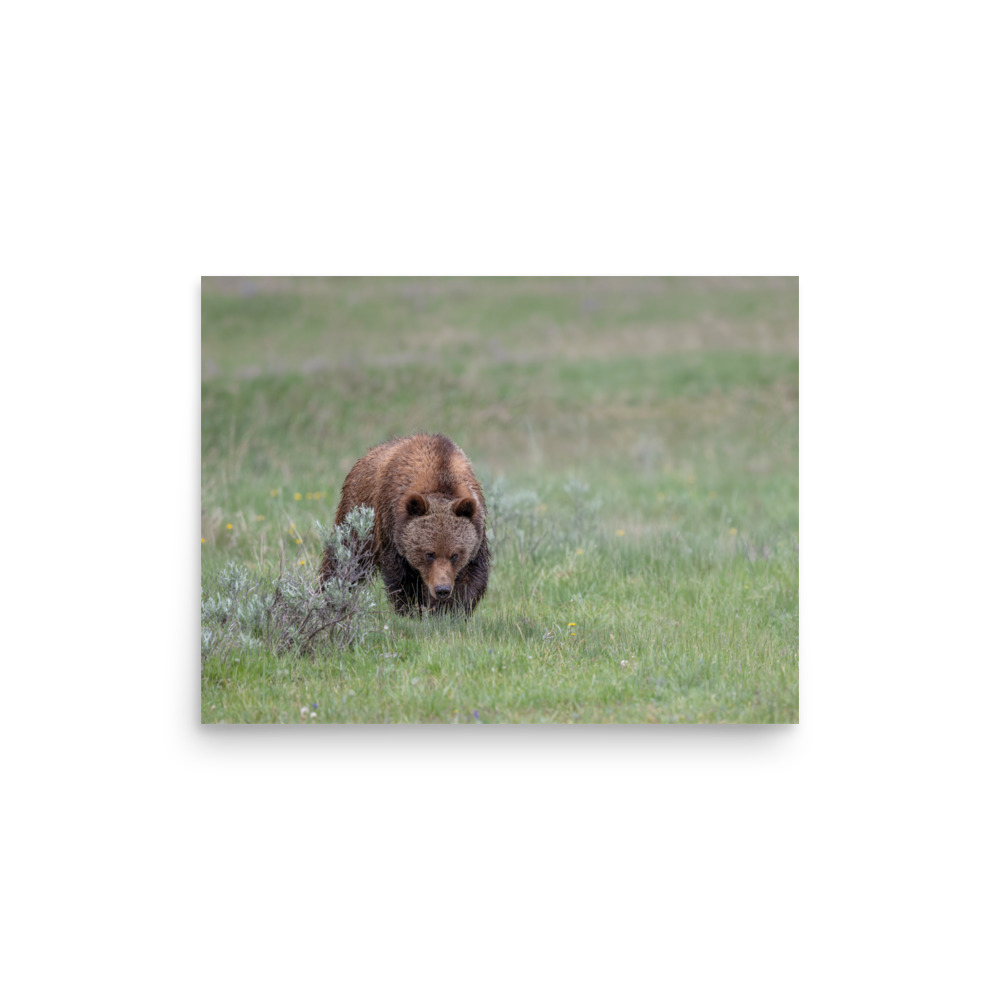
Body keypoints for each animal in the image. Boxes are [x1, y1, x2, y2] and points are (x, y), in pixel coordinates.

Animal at [320, 433, 490, 616]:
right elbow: (401, 577)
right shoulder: (392, 526)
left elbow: (471, 576)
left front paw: (449, 611)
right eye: (429, 554)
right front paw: (412, 610)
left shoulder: (476, 530)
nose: (442, 589)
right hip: (358, 514)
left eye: (455, 555)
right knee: (345, 557)